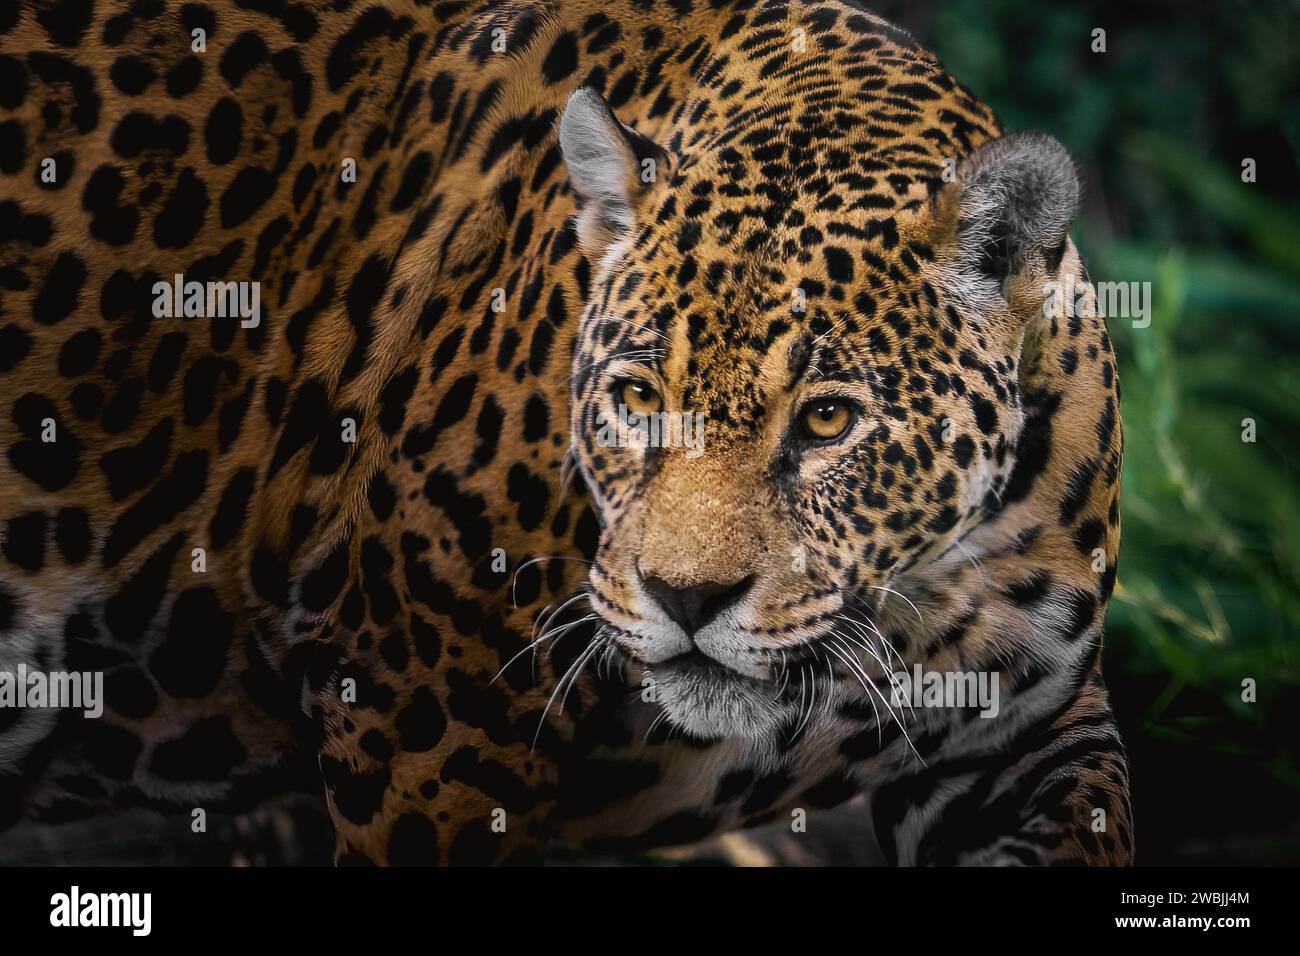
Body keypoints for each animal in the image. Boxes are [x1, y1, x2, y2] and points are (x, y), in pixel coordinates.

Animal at [0, 0, 1132, 866]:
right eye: (636, 397)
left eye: (827, 418)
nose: (686, 598)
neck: (909, 596)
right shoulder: (427, 720)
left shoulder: (1024, 735)